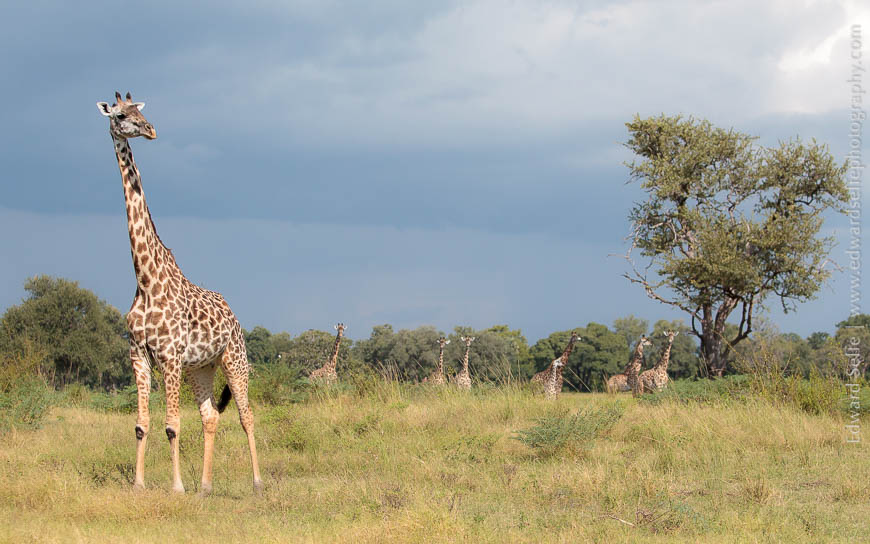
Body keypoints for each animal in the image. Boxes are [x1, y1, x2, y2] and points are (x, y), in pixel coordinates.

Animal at [97, 93, 261, 495]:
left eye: (140, 112)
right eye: (120, 115)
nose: (150, 130)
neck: (145, 278)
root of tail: (234, 317)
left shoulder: (169, 357)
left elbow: (172, 425)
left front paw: (176, 487)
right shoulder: (139, 355)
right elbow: (141, 425)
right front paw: (138, 485)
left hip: (233, 359)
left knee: (246, 416)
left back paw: (256, 483)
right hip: (200, 368)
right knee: (209, 417)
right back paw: (205, 486)